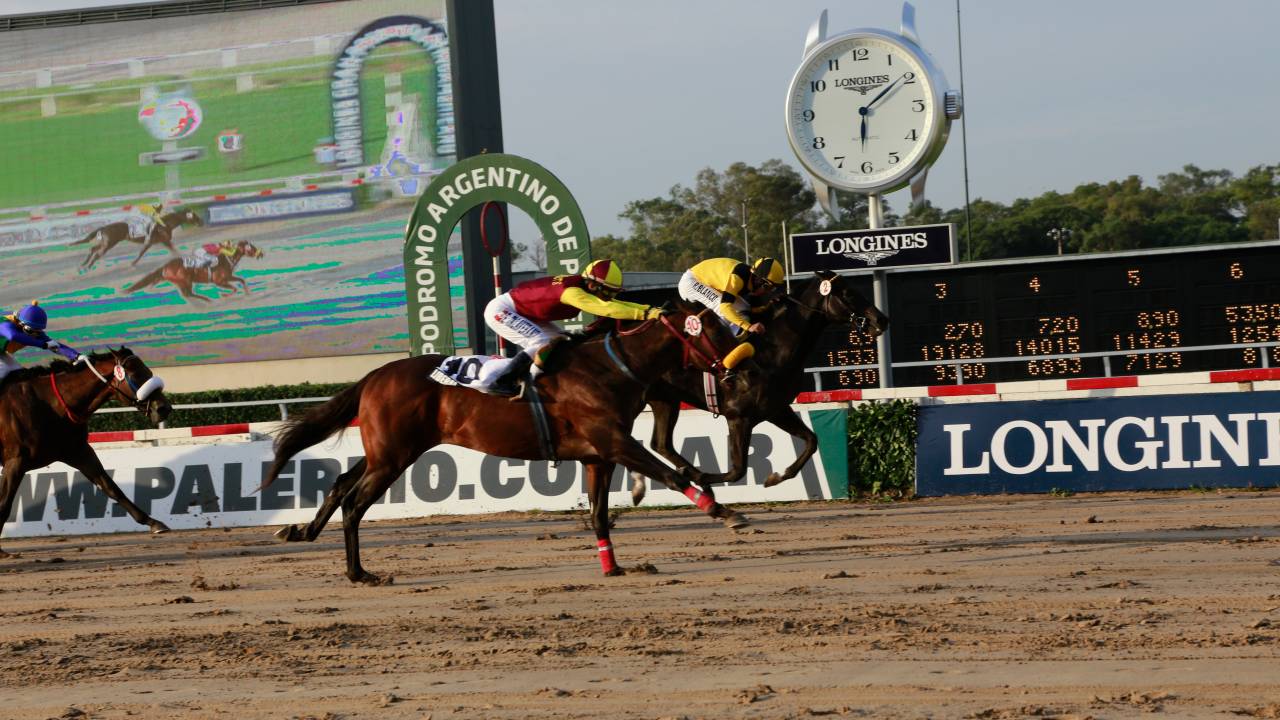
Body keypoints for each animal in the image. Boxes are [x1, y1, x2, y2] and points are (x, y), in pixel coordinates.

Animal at [0, 348, 171, 556]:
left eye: (148, 371)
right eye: (136, 375)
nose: (164, 408)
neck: (49, 404)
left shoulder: (78, 452)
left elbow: (111, 487)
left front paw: (153, 522)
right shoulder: (15, 462)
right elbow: (4, 504)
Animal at [73, 207, 203, 269]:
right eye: (194, 216)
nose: (201, 222)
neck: (164, 224)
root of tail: (104, 227)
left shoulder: (156, 242)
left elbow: (143, 252)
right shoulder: (161, 241)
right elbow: (172, 249)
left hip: (106, 243)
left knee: (92, 249)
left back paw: (84, 264)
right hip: (109, 244)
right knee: (97, 254)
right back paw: (88, 267)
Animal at [125, 238, 264, 299]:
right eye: (250, 247)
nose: (261, 253)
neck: (225, 259)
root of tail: (166, 267)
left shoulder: (228, 277)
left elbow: (241, 280)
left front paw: (248, 293)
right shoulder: (219, 281)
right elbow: (234, 288)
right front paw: (223, 294)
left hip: (180, 281)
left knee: (185, 294)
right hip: (185, 280)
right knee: (188, 294)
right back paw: (207, 300)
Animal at [266, 307, 752, 584]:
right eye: (714, 331)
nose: (744, 369)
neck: (610, 367)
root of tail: (374, 376)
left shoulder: (597, 455)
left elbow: (599, 514)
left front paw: (613, 567)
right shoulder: (613, 441)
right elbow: (669, 474)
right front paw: (725, 512)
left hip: (385, 452)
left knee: (341, 483)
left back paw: (301, 530)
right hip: (393, 456)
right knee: (354, 503)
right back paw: (359, 573)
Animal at [634, 269, 885, 499]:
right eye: (848, 293)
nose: (881, 319)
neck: (771, 350)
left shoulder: (776, 410)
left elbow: (812, 441)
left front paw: (776, 477)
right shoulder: (738, 417)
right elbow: (737, 470)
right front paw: (702, 477)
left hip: (665, 400)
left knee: (661, 444)